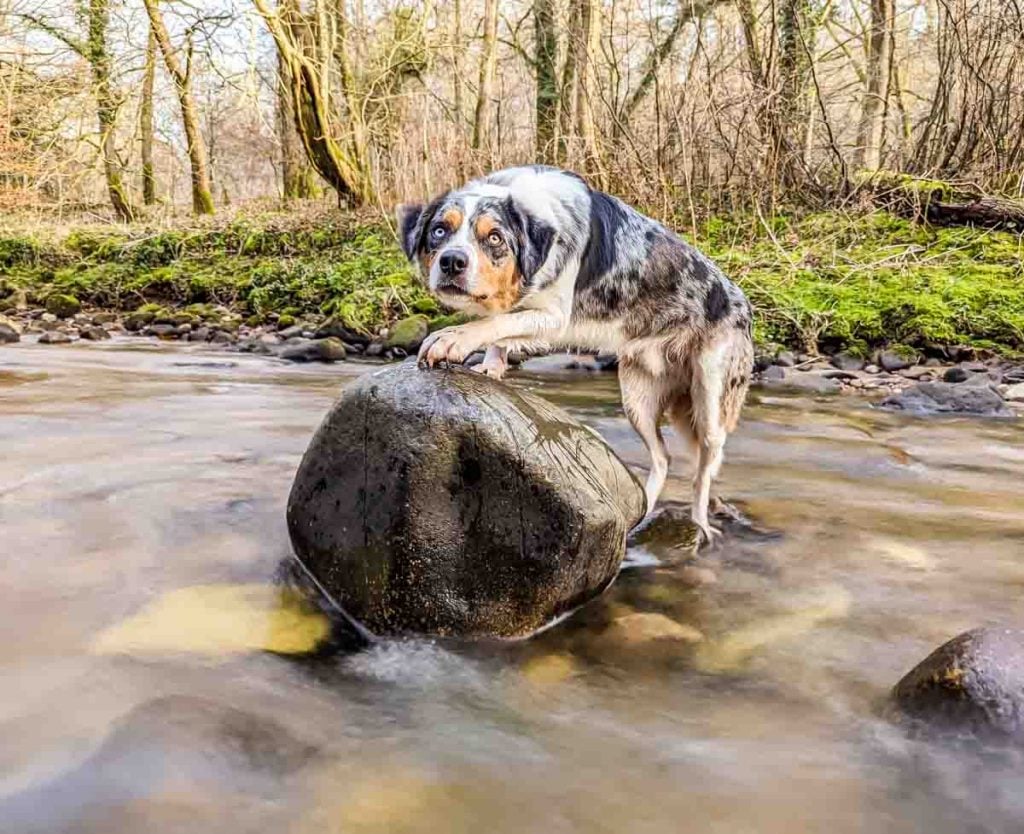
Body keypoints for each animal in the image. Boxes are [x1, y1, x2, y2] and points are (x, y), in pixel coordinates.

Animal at [395, 167, 757, 545]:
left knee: (704, 468)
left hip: (711, 398)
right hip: (637, 397)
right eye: (439, 230)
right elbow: (500, 325)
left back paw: (699, 525)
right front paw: (491, 366)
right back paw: (641, 517)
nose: (452, 261)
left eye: (494, 237)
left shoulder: (554, 317)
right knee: (662, 457)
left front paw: (452, 339)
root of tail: (743, 302)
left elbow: (496, 322)